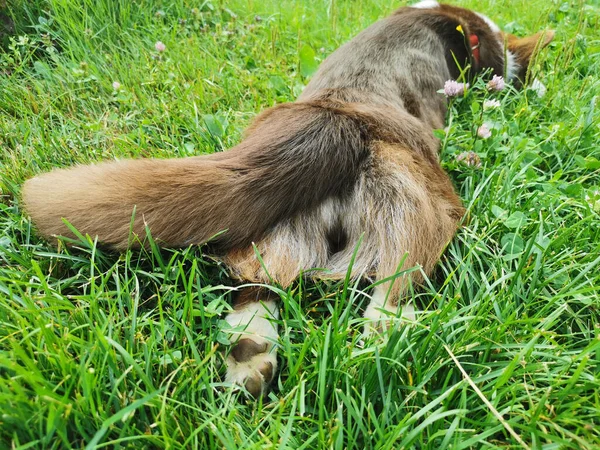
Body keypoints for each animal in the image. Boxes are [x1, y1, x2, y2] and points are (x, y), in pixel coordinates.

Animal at [22, 0, 552, 394]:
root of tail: (335, 118)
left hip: (282, 230)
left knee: (260, 284)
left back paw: (250, 354)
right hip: (423, 209)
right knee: (390, 292)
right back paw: (386, 349)